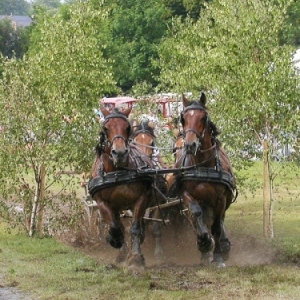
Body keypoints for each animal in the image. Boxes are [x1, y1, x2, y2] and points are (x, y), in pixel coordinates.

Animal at [88, 105, 155, 268]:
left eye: (127, 127)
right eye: (105, 128)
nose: (119, 153)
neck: (117, 171)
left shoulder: (141, 199)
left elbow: (135, 228)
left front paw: (136, 258)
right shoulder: (102, 202)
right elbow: (116, 227)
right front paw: (114, 241)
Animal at [173, 94, 237, 268]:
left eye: (203, 117)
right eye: (183, 118)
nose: (190, 144)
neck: (201, 165)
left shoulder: (220, 199)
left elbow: (216, 227)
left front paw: (218, 257)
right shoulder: (186, 195)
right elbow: (196, 215)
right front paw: (204, 242)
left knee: (218, 221)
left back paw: (223, 245)